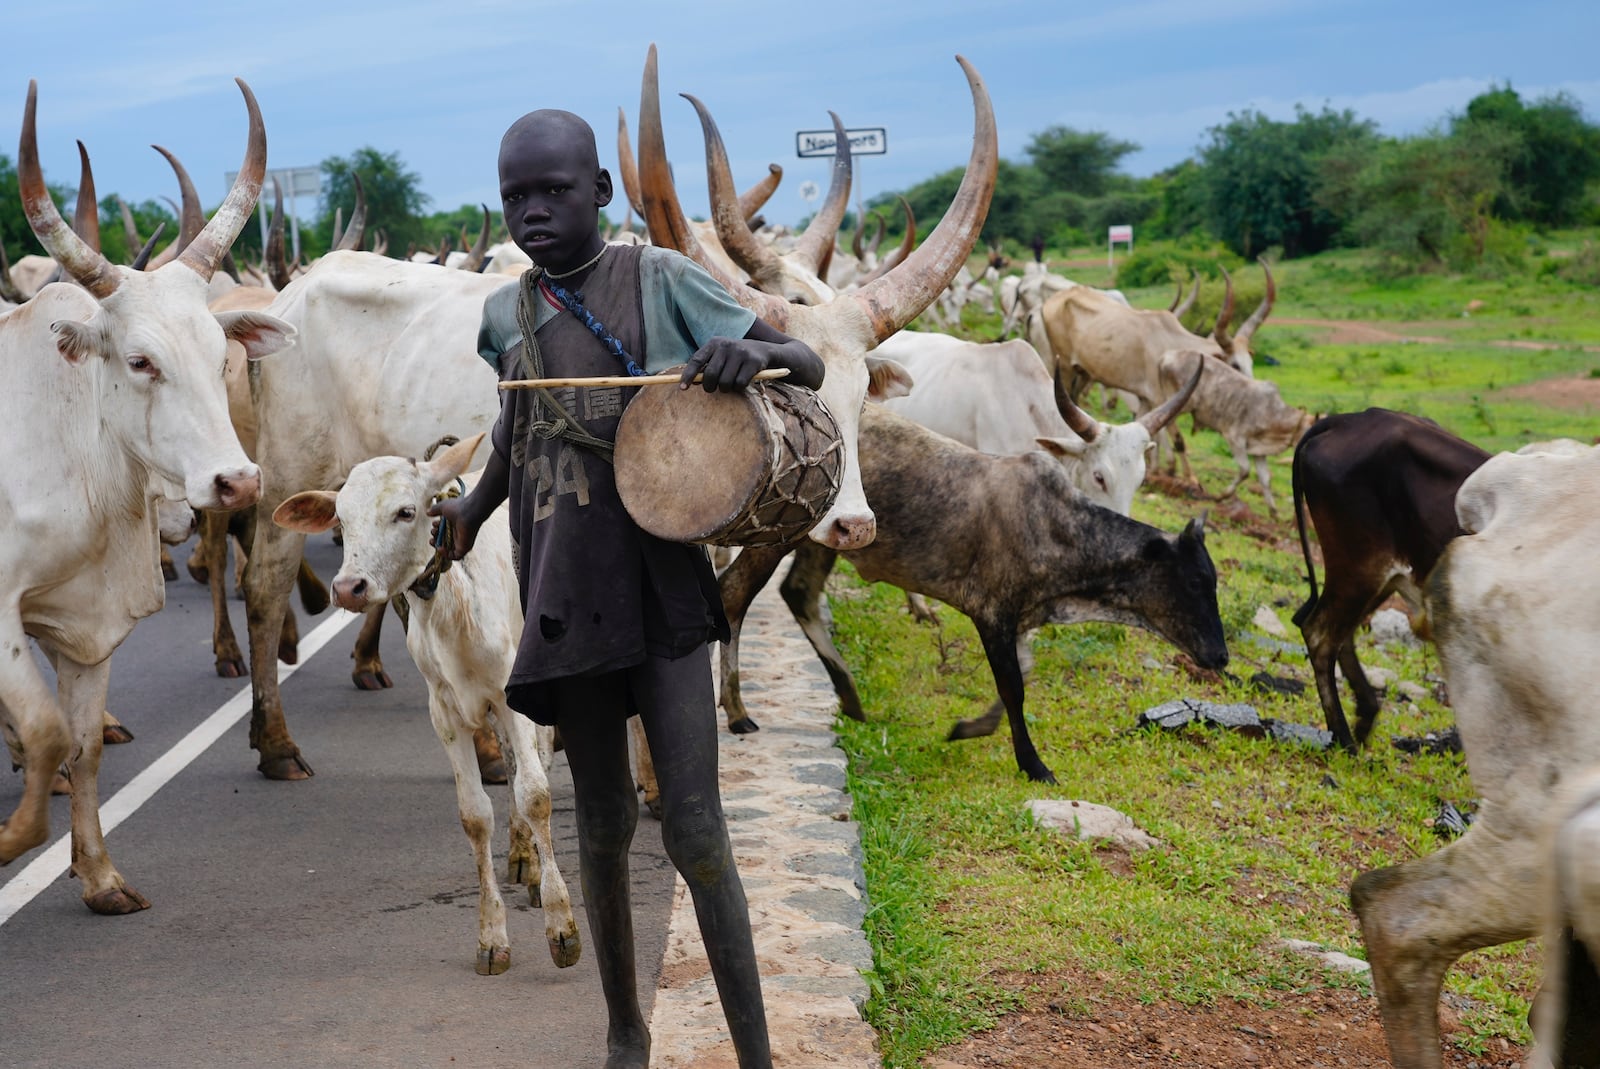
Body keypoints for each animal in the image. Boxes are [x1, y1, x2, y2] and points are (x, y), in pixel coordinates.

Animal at [0, 79, 291, 908]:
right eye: (139, 360)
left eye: (220, 351)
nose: (238, 480)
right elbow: (44, 733)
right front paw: (12, 838)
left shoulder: (87, 618)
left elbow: (80, 744)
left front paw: (99, 875)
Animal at [275, 435, 582, 979]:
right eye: (341, 520)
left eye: (405, 511)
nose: (348, 588)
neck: (454, 602)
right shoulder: (445, 711)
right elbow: (475, 815)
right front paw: (491, 938)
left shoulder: (513, 698)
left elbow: (536, 795)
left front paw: (560, 926)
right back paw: (523, 858)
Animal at [1286, 406, 1484, 752]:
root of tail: (1347, 419)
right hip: (1361, 566)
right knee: (1319, 633)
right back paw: (1344, 738)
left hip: (1379, 576)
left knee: (1339, 633)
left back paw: (1364, 716)